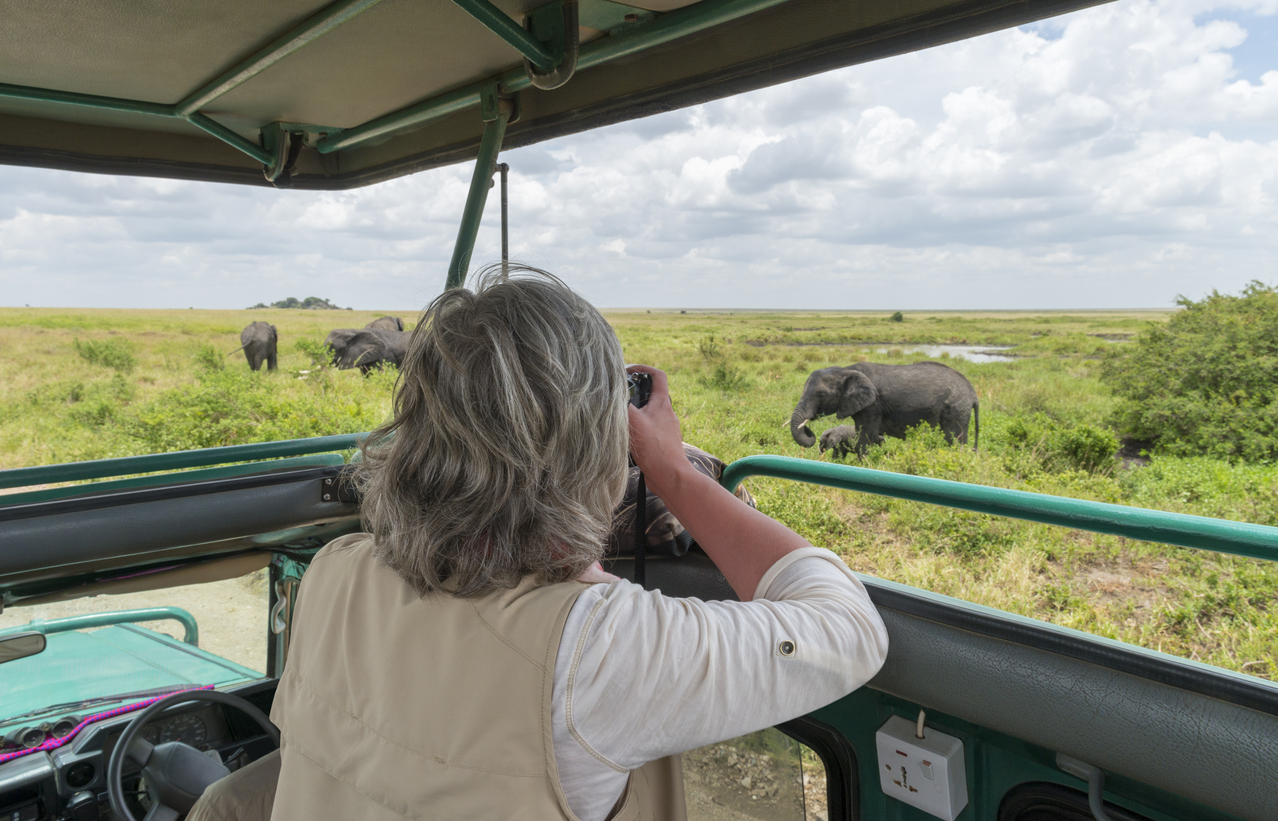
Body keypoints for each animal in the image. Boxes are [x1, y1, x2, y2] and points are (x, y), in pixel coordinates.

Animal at [790, 362, 979, 456]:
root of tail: (972, 392)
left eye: (821, 395)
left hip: (955, 409)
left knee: (954, 439)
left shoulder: (873, 405)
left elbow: (866, 438)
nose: (807, 426)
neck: (845, 370)